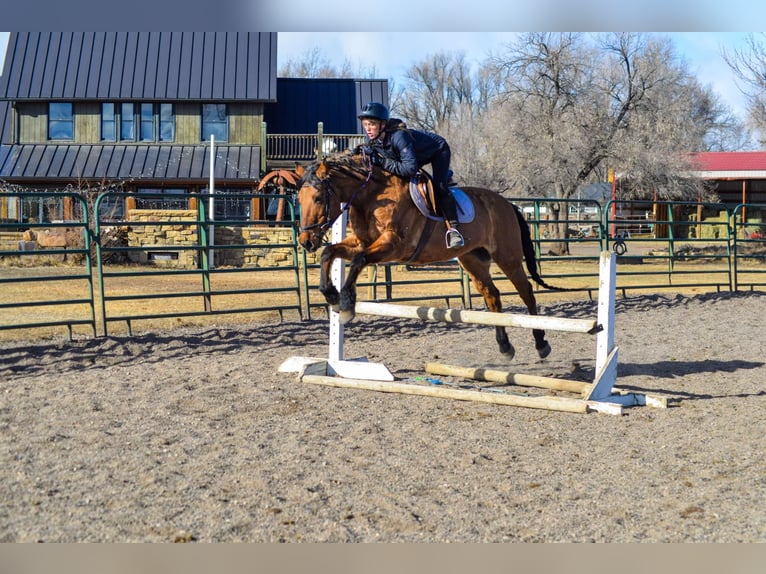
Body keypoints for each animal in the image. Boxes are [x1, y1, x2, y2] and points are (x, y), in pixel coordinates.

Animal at [300, 151, 564, 362]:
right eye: (299, 200)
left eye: (318, 198)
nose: (306, 241)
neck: (371, 195)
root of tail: (508, 204)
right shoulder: (360, 243)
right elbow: (329, 253)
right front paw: (331, 294)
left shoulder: (393, 245)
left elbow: (358, 261)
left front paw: (345, 302)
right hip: (472, 260)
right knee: (492, 295)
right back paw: (505, 346)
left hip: (507, 257)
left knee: (526, 291)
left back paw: (541, 343)